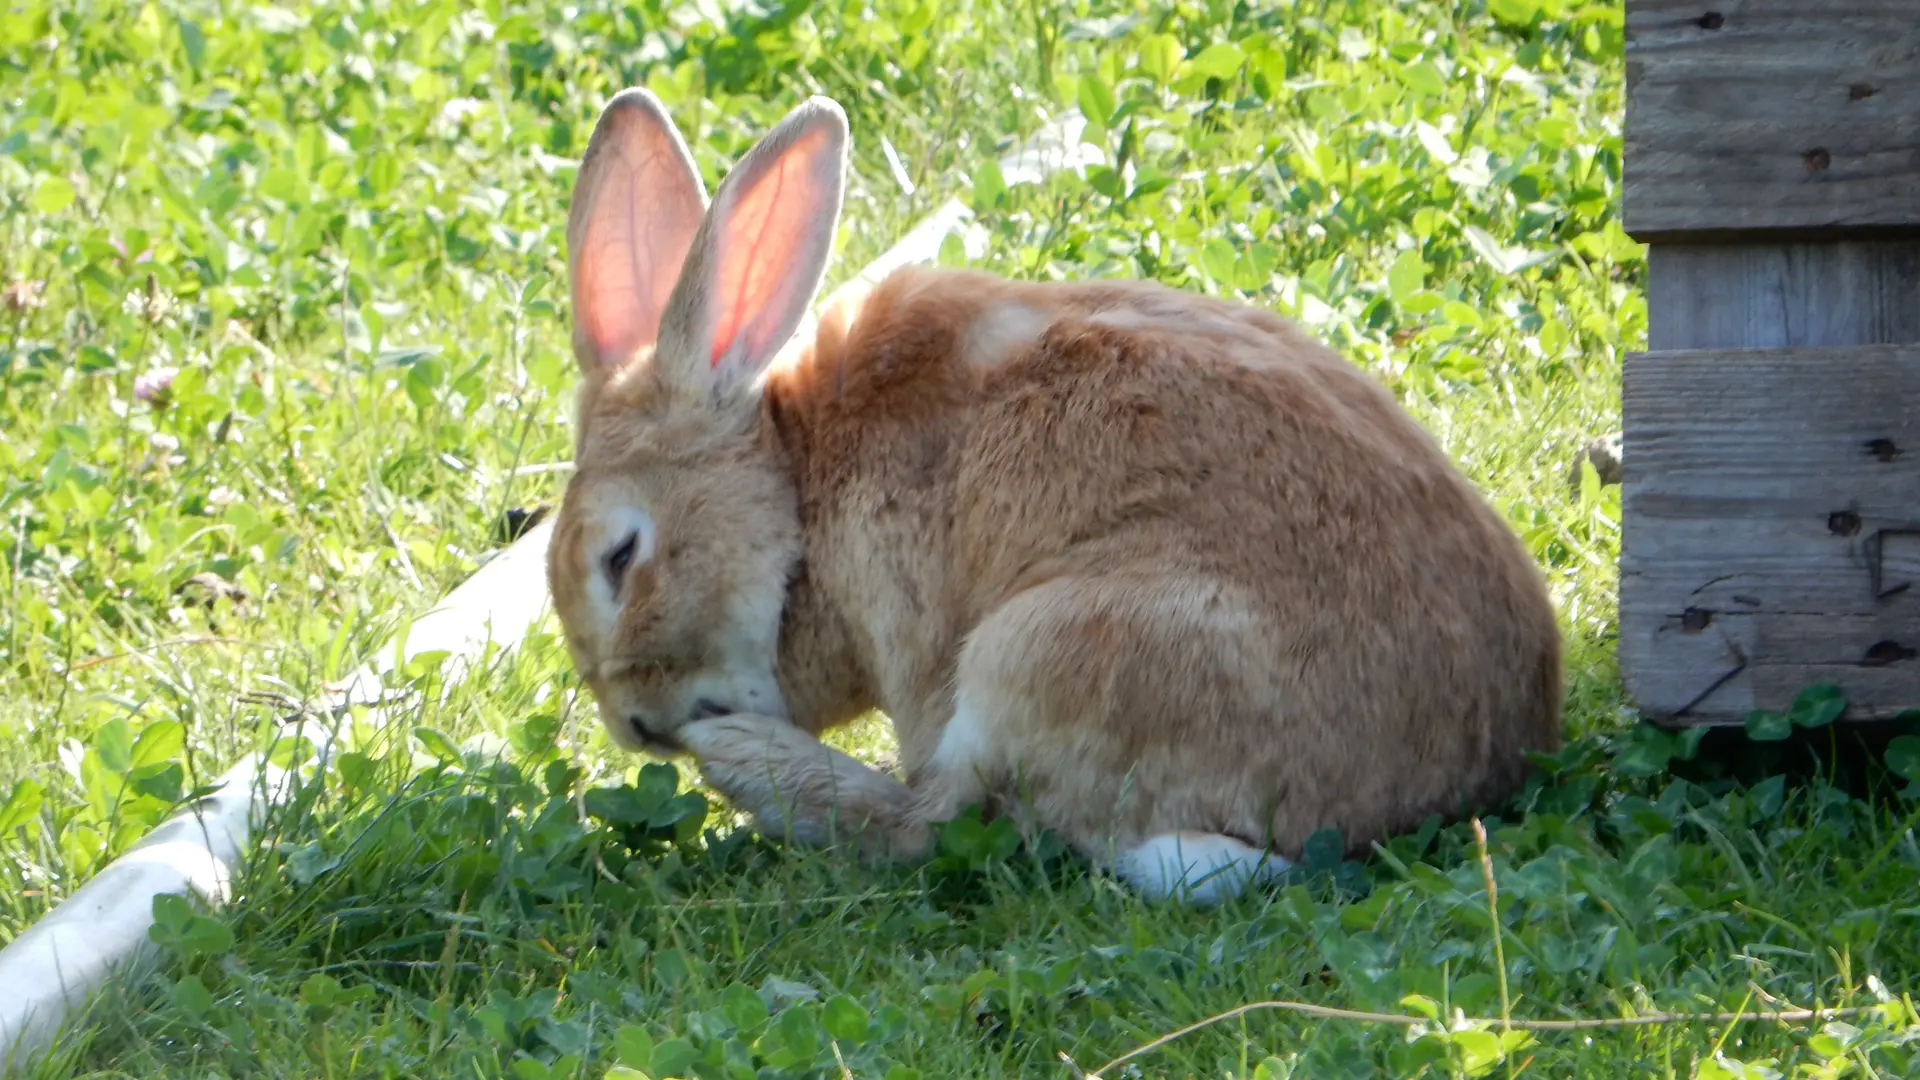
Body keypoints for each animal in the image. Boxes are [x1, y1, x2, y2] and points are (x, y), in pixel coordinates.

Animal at [545, 88, 1559, 903]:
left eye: (622, 556)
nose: (639, 728)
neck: (798, 485)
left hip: (1047, 652)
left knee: (939, 824)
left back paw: (751, 766)